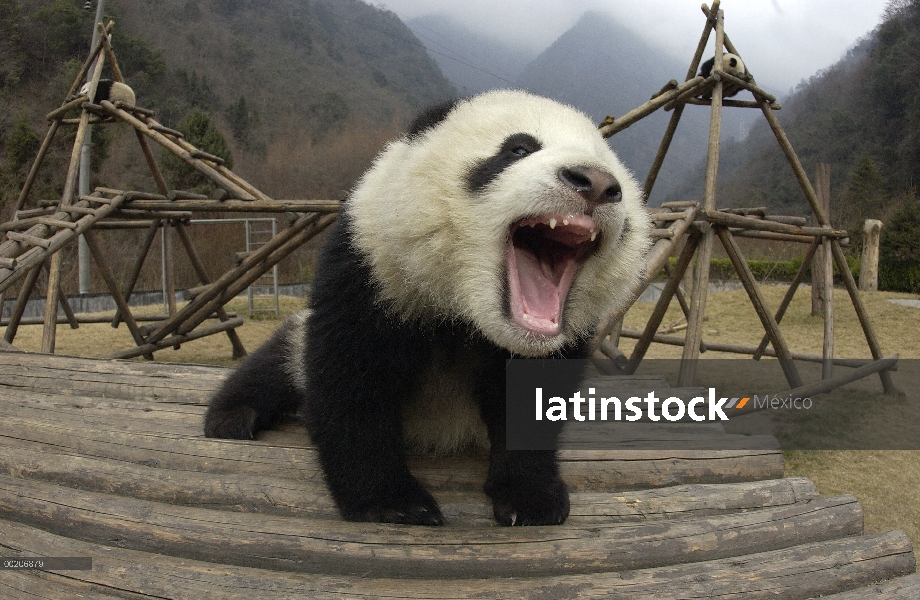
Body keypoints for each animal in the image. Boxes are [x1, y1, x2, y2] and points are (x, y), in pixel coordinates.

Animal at [205, 89, 652, 524]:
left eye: (612, 174)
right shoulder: (376, 264)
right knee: (282, 358)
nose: (596, 182)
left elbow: (533, 399)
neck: (466, 309)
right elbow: (352, 378)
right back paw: (233, 415)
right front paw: (391, 501)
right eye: (519, 148)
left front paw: (530, 497)